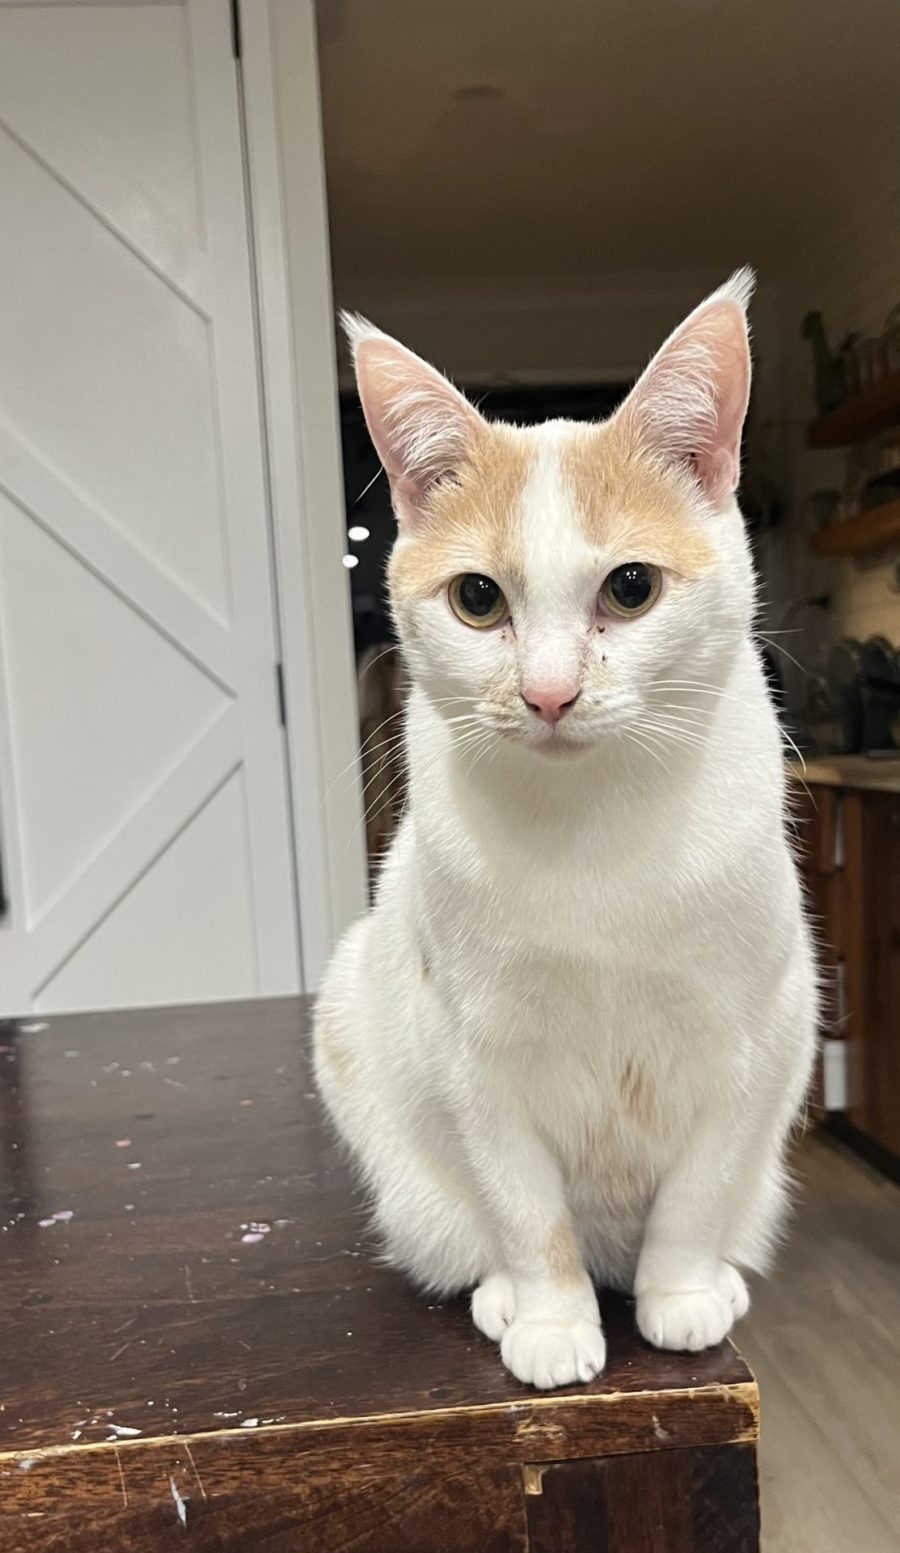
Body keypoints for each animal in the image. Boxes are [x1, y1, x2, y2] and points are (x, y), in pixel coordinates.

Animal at [314, 271, 817, 1390]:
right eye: (476, 599)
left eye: (631, 588)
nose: (548, 694)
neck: (596, 831)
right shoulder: (480, 1058)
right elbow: (525, 1208)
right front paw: (550, 1320)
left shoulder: (749, 1041)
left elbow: (696, 1194)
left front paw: (680, 1294)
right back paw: (507, 1295)